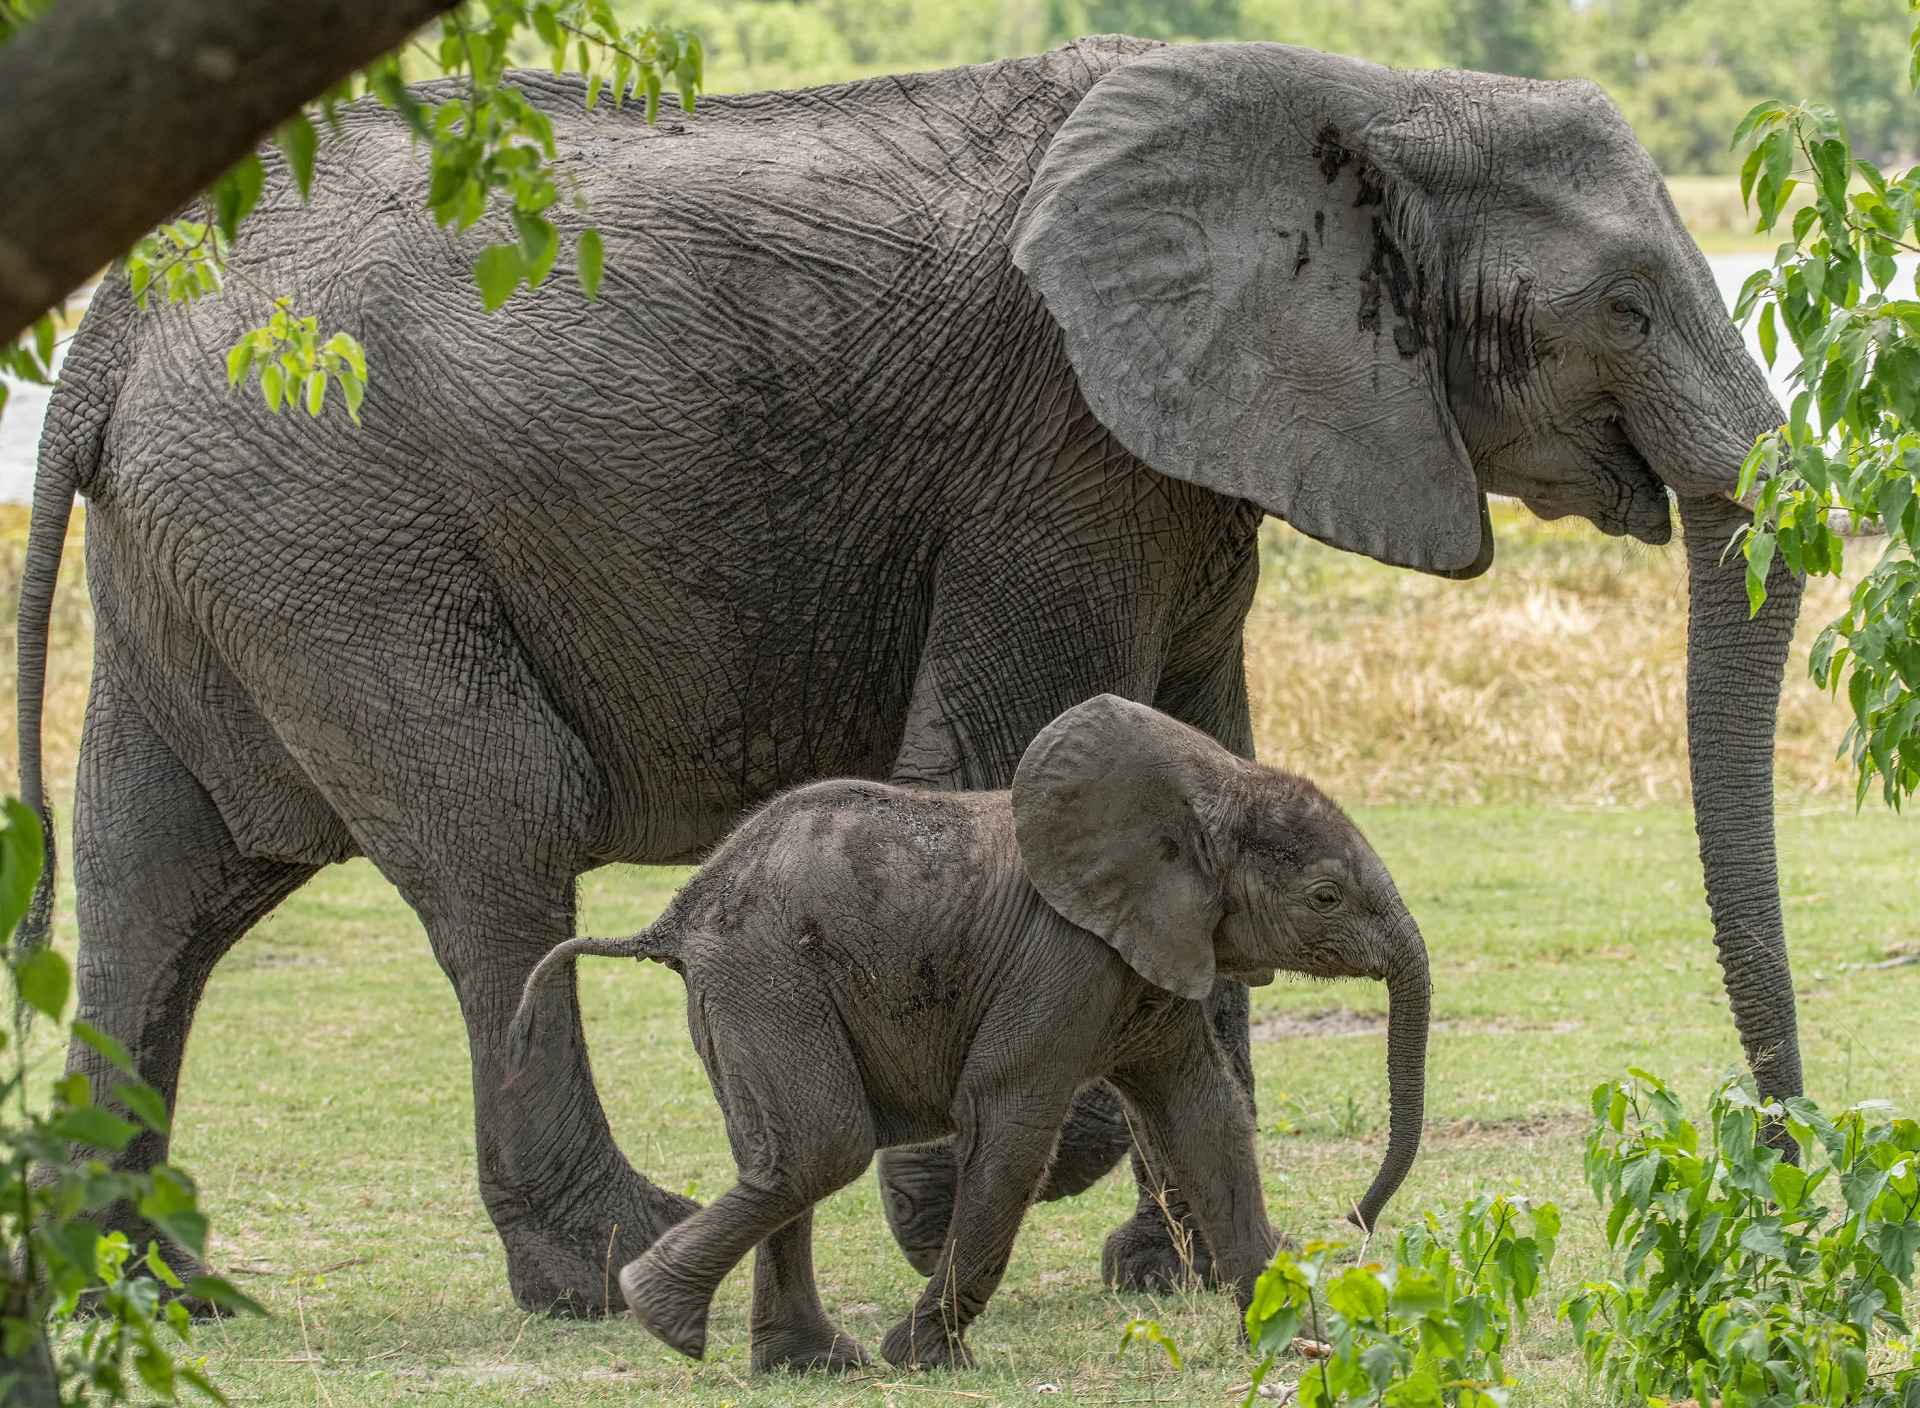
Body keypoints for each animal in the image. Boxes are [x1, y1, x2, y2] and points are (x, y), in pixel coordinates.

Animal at [506, 695, 1428, 1375]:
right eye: (1326, 899)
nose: (1352, 1222)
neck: (1212, 788)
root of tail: (679, 910)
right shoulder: (1064, 958)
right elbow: (1013, 1126)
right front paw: (923, 1359)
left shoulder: (1152, 956)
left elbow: (1207, 1119)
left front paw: (1299, 1346)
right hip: (766, 975)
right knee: (818, 1150)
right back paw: (662, 1314)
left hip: (746, 988)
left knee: (777, 1156)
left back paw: (810, 1364)